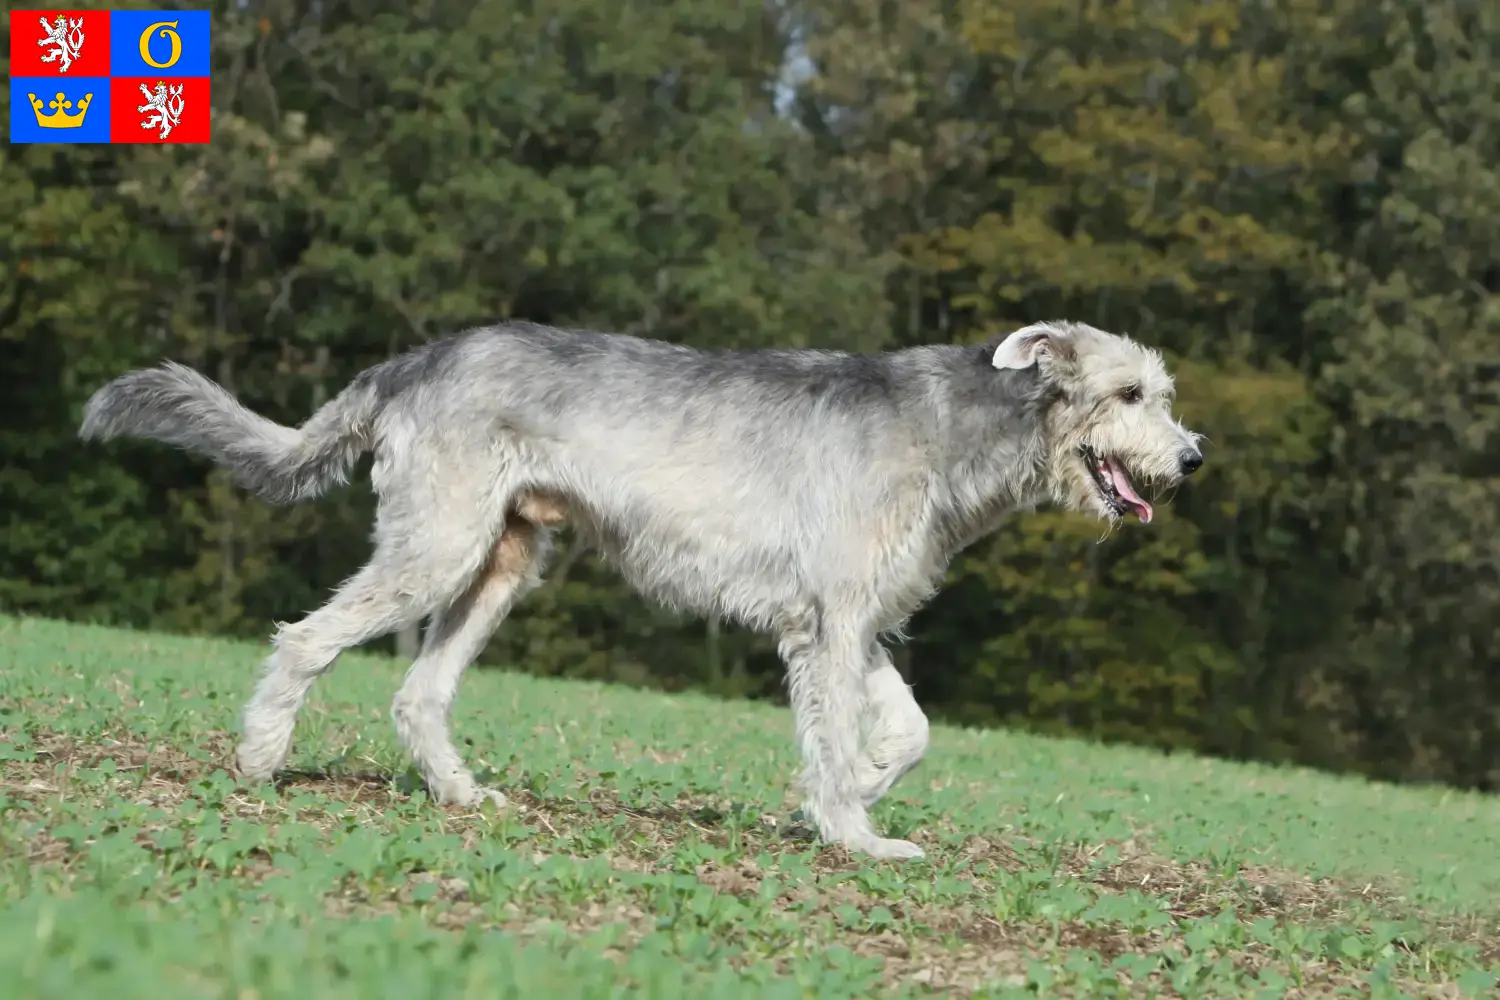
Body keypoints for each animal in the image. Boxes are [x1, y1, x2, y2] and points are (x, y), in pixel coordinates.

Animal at [79, 320, 1206, 863]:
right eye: (1129, 393)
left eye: (1166, 393)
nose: (1193, 457)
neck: (960, 430)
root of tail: (412, 362)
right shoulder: (834, 622)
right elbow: (843, 740)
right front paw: (856, 835)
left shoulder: (847, 621)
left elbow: (910, 731)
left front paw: (846, 795)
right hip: (434, 548)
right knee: (305, 637)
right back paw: (260, 760)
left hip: (502, 564)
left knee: (417, 692)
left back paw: (461, 794)